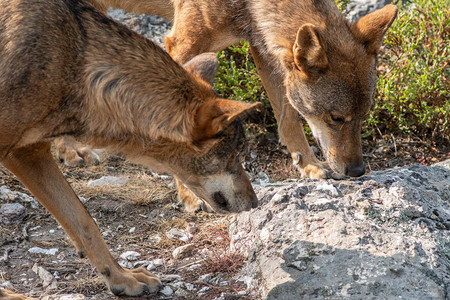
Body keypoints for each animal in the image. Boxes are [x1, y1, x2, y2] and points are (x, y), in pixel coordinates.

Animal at [0, 0, 258, 296]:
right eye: (236, 153)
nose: (255, 203)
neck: (73, 64)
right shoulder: (20, 152)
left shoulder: (30, 151)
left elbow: (85, 221)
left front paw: (121, 278)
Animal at [80, 0, 398, 182]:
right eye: (336, 118)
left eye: (364, 116)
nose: (357, 172)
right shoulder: (181, 45)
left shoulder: (263, 48)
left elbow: (288, 120)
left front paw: (308, 165)